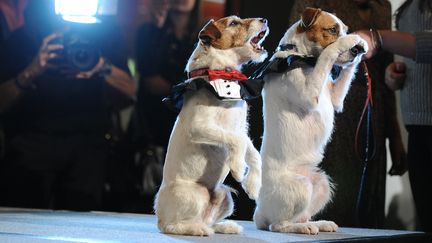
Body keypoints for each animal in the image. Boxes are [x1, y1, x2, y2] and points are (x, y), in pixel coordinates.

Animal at [154, 15, 268, 235]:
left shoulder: (241, 128)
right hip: (193, 195)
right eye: (233, 23)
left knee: (210, 221)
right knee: (172, 226)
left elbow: (252, 151)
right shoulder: (199, 127)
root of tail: (159, 217)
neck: (222, 72)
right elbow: (235, 140)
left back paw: (225, 226)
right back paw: (196, 229)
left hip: (226, 195)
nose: (264, 20)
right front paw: (239, 168)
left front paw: (253, 184)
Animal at [253, 7, 368, 234]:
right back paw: (301, 228)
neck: (300, 56)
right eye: (332, 30)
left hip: (321, 183)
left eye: (344, 28)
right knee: (278, 225)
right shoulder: (308, 95)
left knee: (300, 216)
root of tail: (259, 212)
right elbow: (327, 54)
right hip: (300, 186)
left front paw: (360, 41)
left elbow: (344, 74)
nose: (357, 50)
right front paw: (344, 43)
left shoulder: (336, 99)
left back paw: (318, 223)